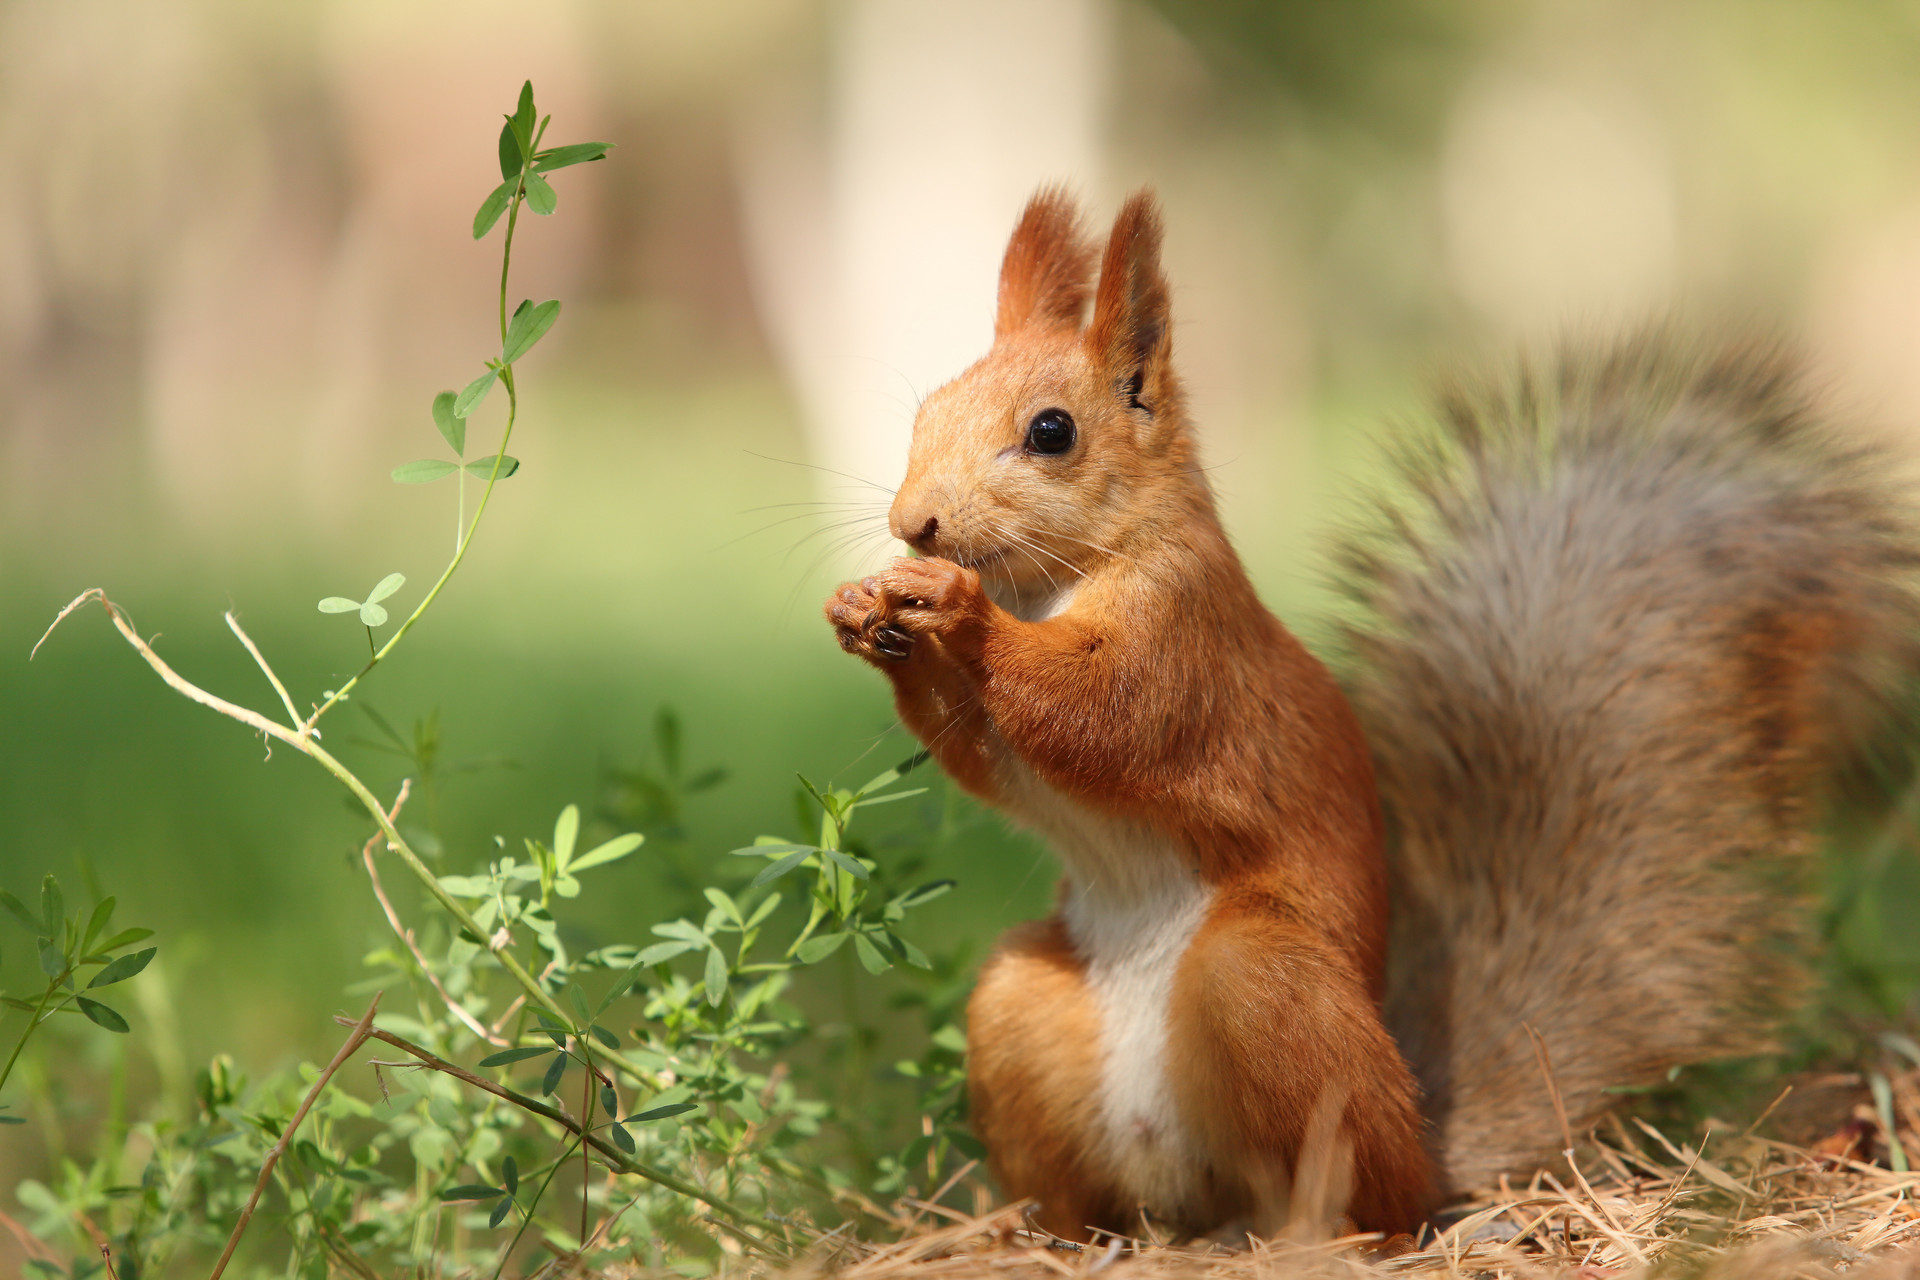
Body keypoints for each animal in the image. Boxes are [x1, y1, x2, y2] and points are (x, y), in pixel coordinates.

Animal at [821, 188, 1920, 1243]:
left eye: (1053, 431)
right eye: (928, 408)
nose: (914, 524)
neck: (1055, 584)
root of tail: (1430, 1141)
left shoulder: (1187, 643)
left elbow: (1097, 714)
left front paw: (955, 611)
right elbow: (988, 756)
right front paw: (864, 612)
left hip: (1267, 991)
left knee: (1371, 1200)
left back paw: (1317, 1234)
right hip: (1020, 1008)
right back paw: (1056, 1234)